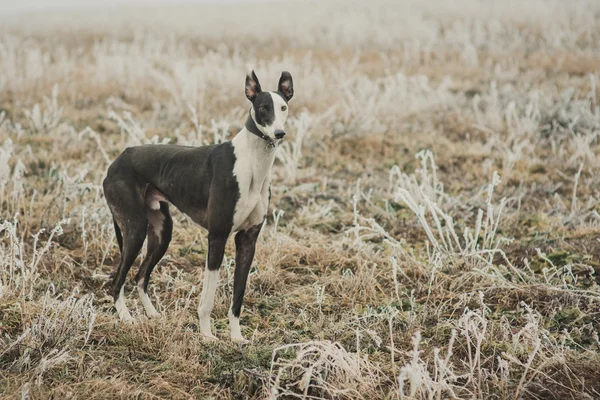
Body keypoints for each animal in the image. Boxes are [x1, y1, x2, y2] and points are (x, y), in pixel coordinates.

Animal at [103, 70, 296, 342]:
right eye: (263, 108)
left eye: (283, 107)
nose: (279, 133)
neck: (252, 162)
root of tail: (117, 160)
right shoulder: (217, 236)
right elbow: (208, 298)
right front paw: (207, 335)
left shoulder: (248, 240)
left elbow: (238, 297)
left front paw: (236, 337)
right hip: (135, 229)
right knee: (118, 280)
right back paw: (126, 318)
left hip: (162, 231)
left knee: (141, 276)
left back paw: (151, 314)